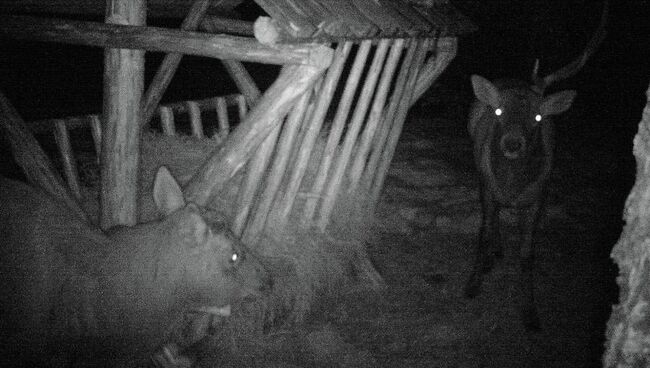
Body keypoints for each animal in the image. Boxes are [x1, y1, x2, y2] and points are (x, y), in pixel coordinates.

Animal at [464, 0, 604, 334]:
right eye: (498, 111)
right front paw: (472, 283)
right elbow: (483, 232)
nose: (513, 144)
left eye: (538, 118)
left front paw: (530, 312)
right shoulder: (487, 187)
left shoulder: (539, 197)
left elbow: (528, 254)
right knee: (493, 220)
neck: (512, 186)